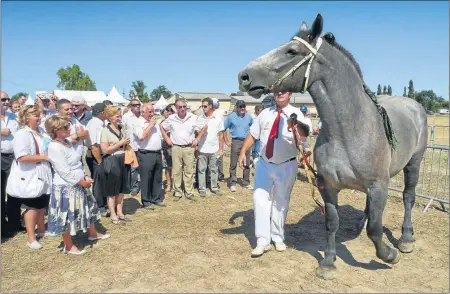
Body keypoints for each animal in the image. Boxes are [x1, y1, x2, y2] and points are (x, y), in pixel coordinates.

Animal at [237, 14, 428, 280]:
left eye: (291, 51)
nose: (244, 76)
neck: (349, 131)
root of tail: (414, 105)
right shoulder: (328, 186)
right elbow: (331, 223)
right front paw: (328, 263)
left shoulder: (378, 185)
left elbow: (376, 229)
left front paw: (389, 255)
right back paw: (360, 223)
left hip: (414, 163)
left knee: (408, 197)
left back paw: (406, 239)